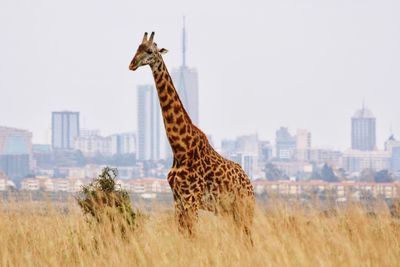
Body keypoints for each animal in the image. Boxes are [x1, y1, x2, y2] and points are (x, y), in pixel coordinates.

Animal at [129, 32, 253, 240]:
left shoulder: (191, 199)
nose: (132, 64)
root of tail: (250, 182)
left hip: (244, 206)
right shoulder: (178, 200)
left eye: (150, 51)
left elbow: (193, 236)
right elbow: (183, 235)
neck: (180, 149)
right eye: (136, 48)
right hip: (228, 210)